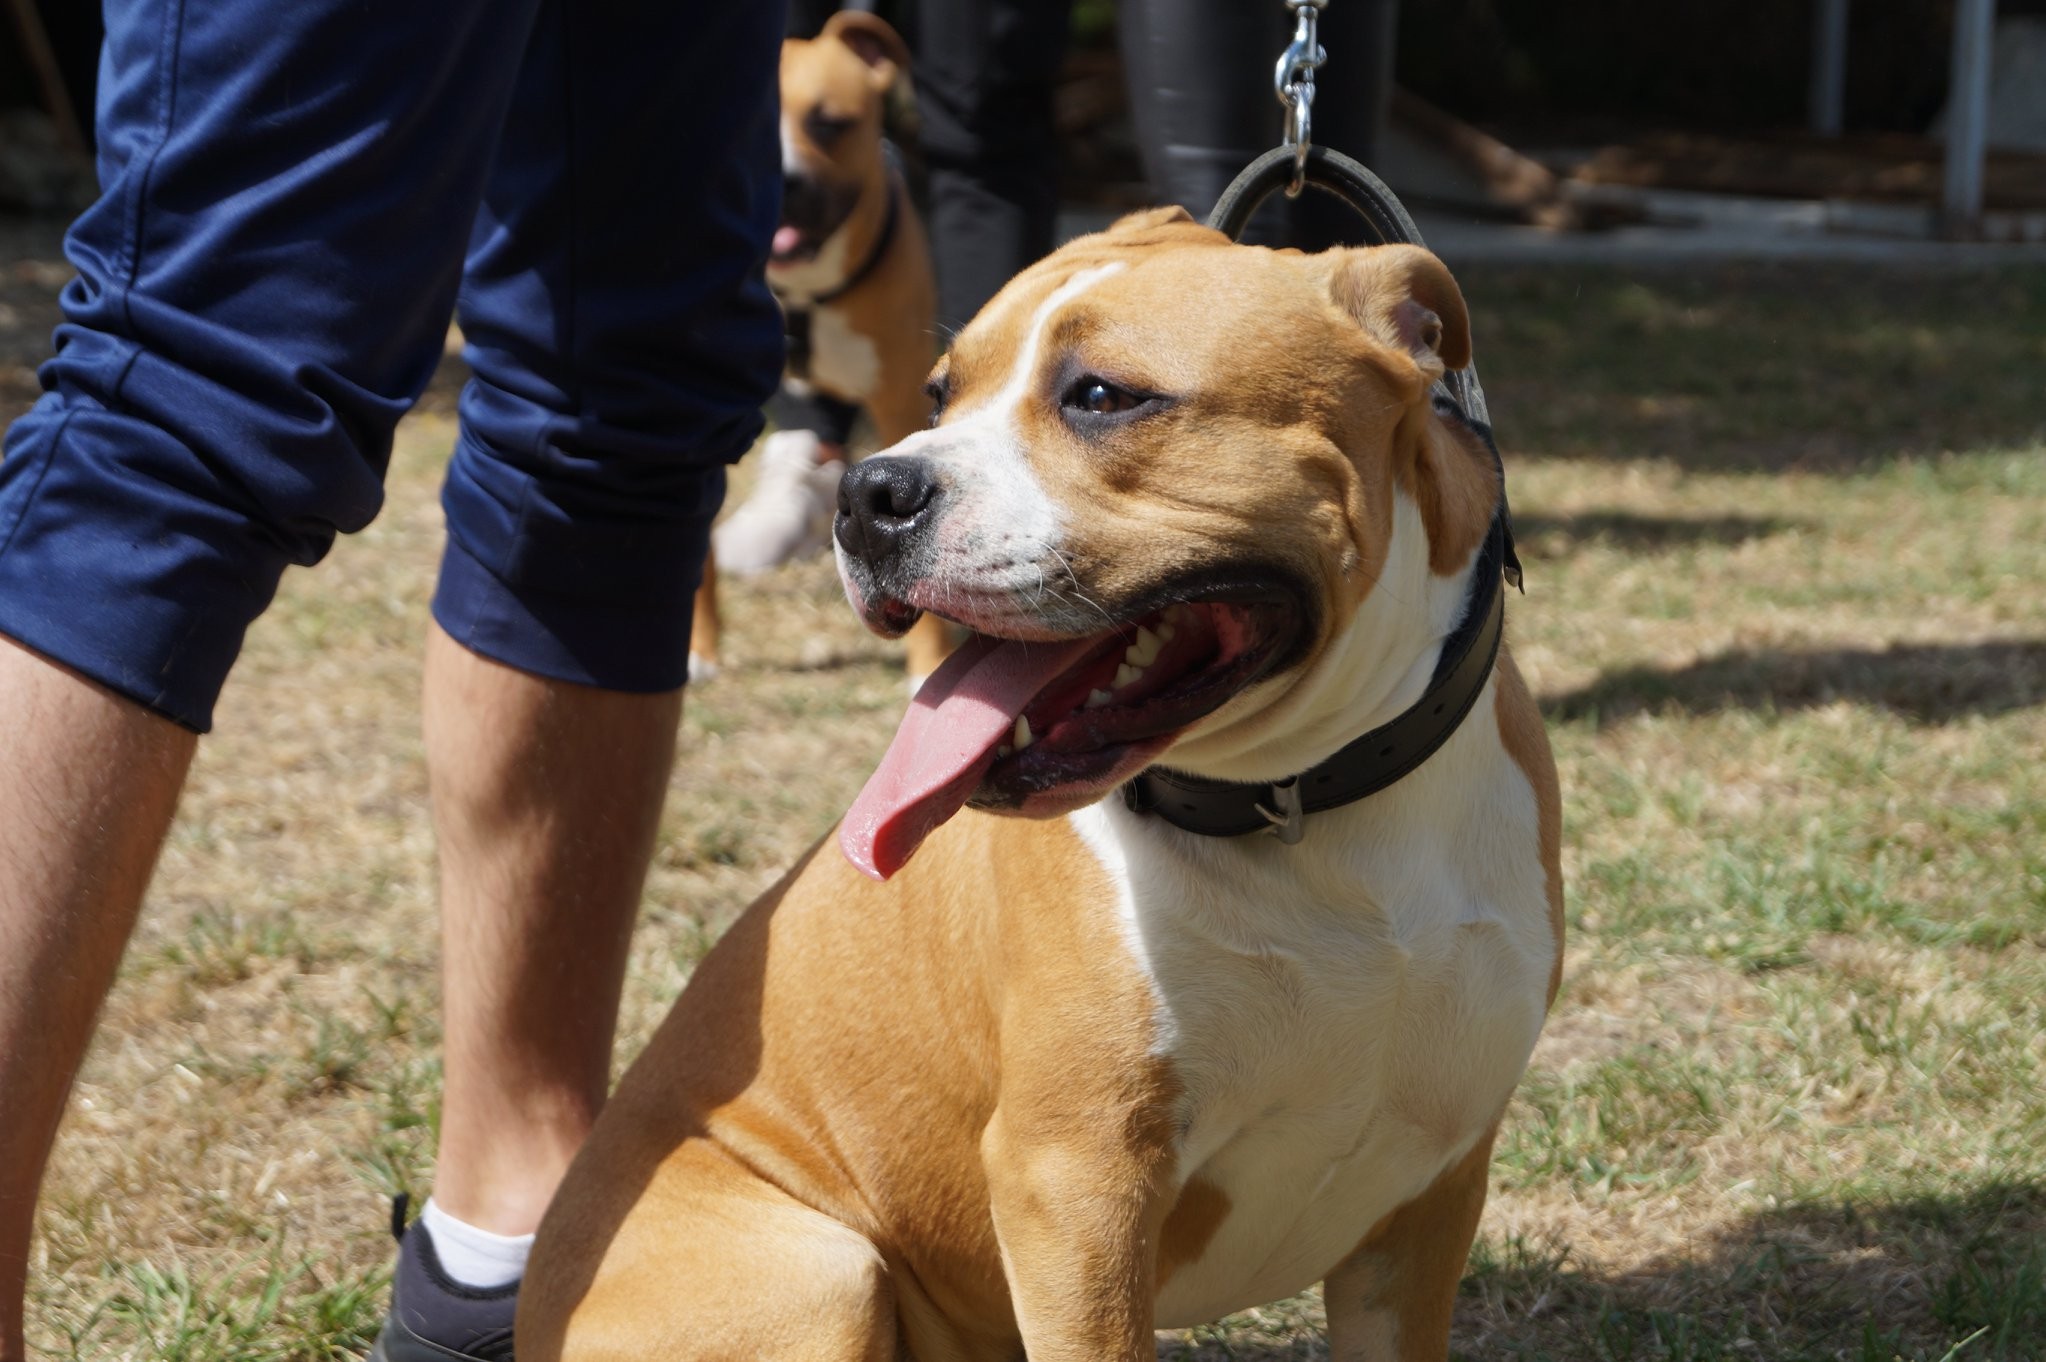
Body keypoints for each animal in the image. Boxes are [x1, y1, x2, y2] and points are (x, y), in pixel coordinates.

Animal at [521, 209, 1563, 1362]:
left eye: (1102, 396)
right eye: (941, 394)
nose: (866, 492)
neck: (1310, 803)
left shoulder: (1426, 1204)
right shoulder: (1075, 1187)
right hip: (816, 1273)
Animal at [691, 10, 954, 685]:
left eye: (828, 123)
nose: (782, 182)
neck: (798, 292)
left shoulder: (900, 403)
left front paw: (929, 667)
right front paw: (698, 650)